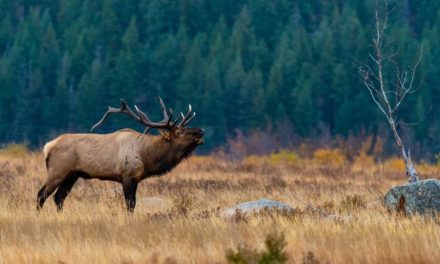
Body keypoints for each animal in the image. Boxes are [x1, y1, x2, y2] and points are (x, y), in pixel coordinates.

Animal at [36, 98, 205, 211]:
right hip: (57, 171)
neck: (147, 157)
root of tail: (47, 147)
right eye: (180, 132)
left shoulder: (136, 179)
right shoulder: (127, 176)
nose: (201, 130)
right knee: (41, 194)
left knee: (59, 197)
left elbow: (134, 204)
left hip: (72, 175)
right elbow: (130, 205)